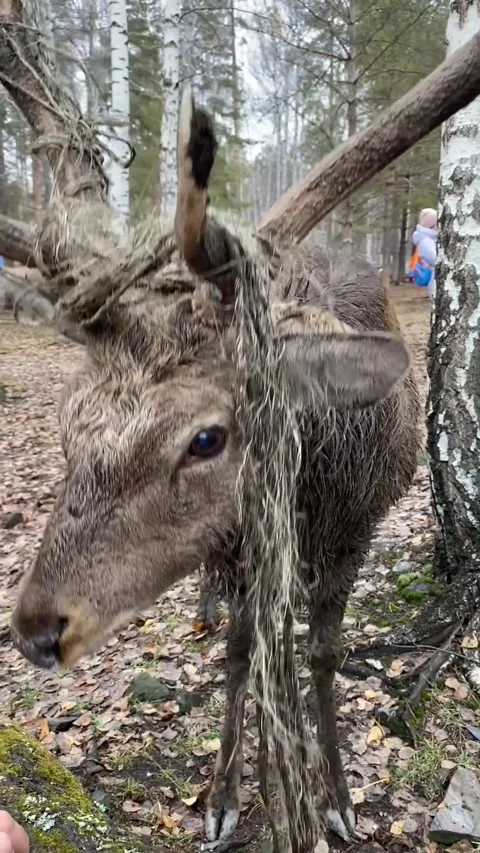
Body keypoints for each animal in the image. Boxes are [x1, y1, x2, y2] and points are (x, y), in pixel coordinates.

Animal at [11, 90, 421, 847]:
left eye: (205, 437)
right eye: (66, 420)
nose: (35, 630)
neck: (314, 501)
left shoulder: (358, 531)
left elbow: (324, 654)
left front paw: (337, 797)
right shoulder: (239, 551)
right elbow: (239, 654)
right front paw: (224, 796)